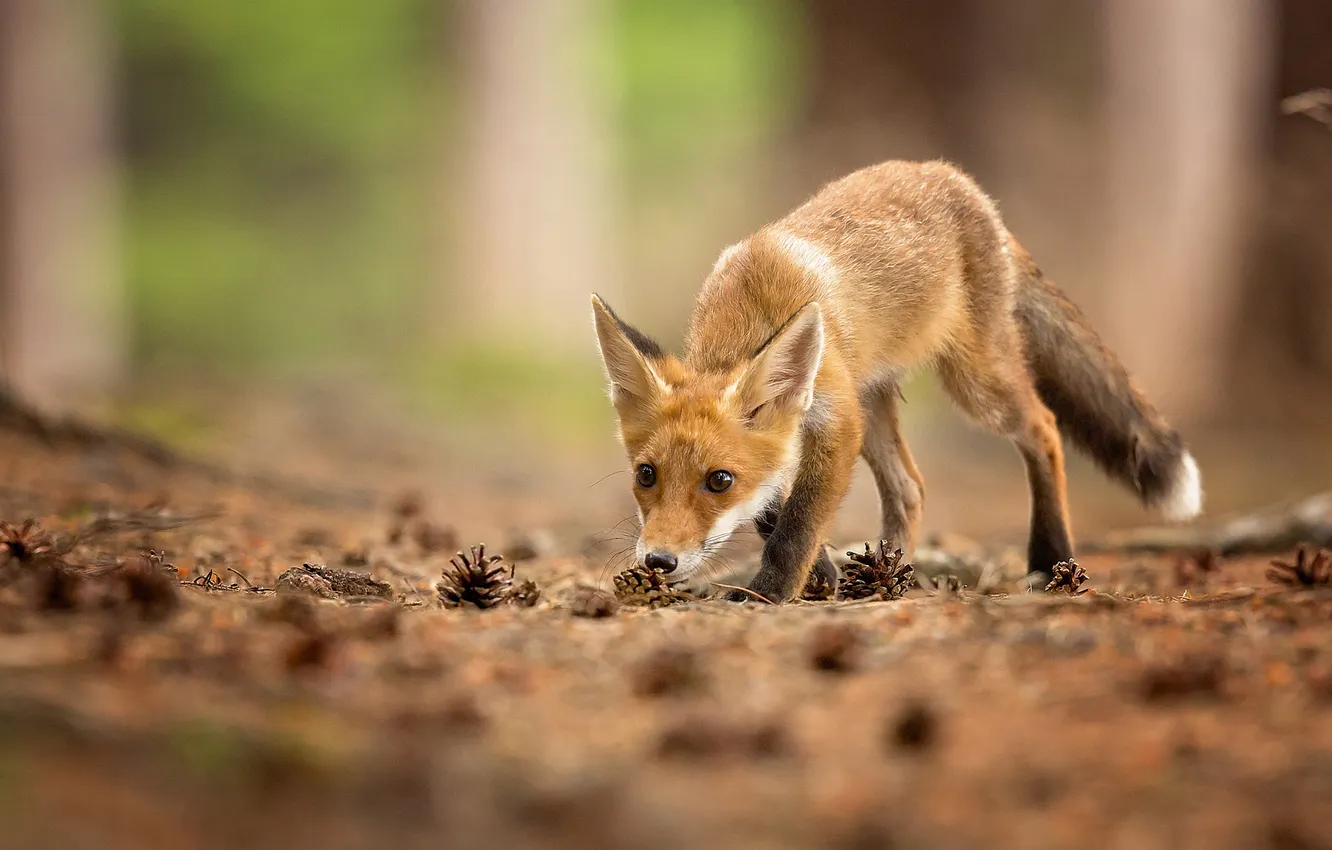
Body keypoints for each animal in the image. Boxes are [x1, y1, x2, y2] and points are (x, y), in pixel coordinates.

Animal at [591, 159, 1202, 603]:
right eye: (645, 475)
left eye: (719, 481)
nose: (657, 561)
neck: (749, 312)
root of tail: (961, 182)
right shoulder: (810, 423)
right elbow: (774, 507)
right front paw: (822, 577)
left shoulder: (835, 418)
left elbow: (796, 523)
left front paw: (768, 593)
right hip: (877, 401)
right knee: (910, 488)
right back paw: (885, 578)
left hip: (973, 384)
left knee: (1044, 427)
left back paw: (1049, 559)